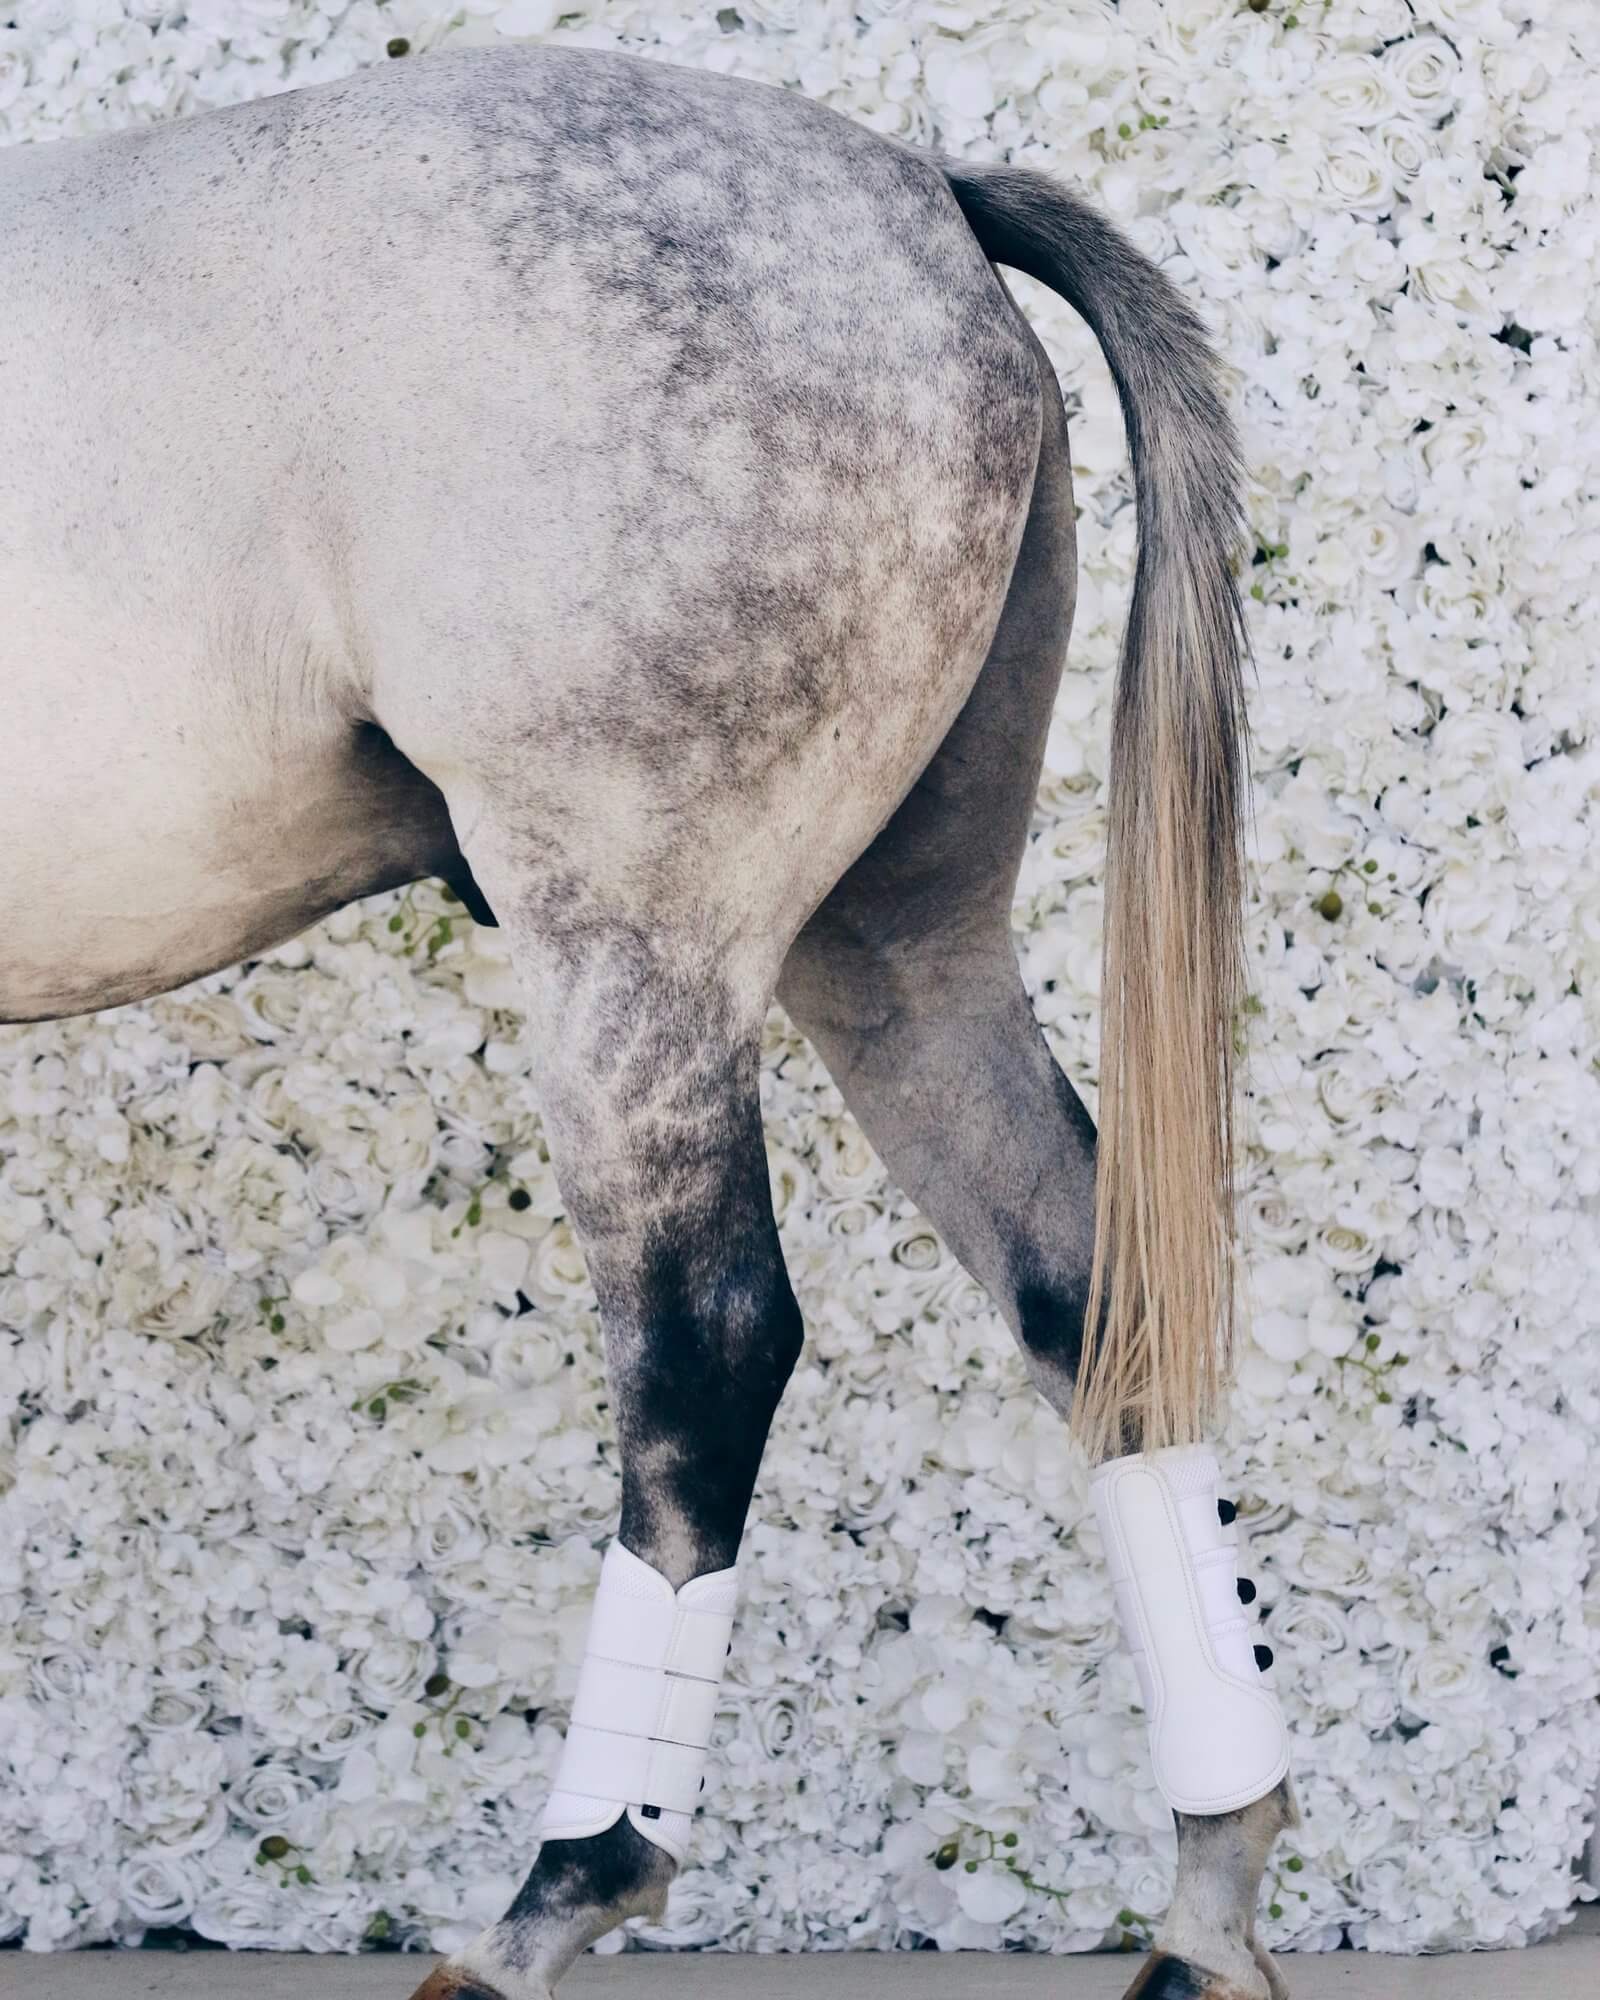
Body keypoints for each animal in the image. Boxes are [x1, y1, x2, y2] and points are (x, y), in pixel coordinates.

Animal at [0, 43, 1296, 2000]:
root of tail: (918, 195)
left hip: (637, 948)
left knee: (705, 1351)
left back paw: (562, 1895)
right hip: (900, 951)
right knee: (1087, 1291)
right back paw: (1208, 1903)